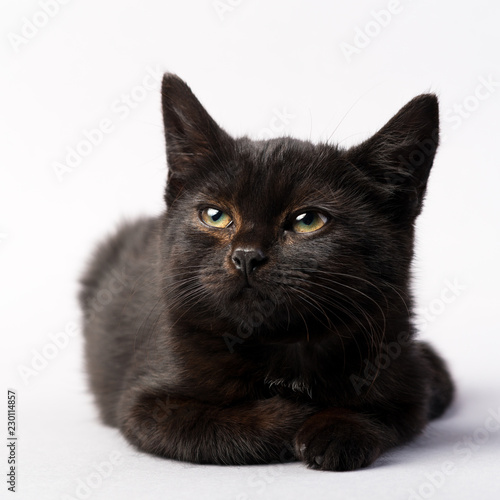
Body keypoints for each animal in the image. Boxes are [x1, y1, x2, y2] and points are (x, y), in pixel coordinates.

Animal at [80, 73, 456, 468]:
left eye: (308, 221)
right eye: (215, 215)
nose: (246, 256)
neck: (283, 345)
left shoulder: (401, 371)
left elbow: (388, 412)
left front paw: (335, 433)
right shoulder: (144, 405)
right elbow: (213, 427)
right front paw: (293, 416)